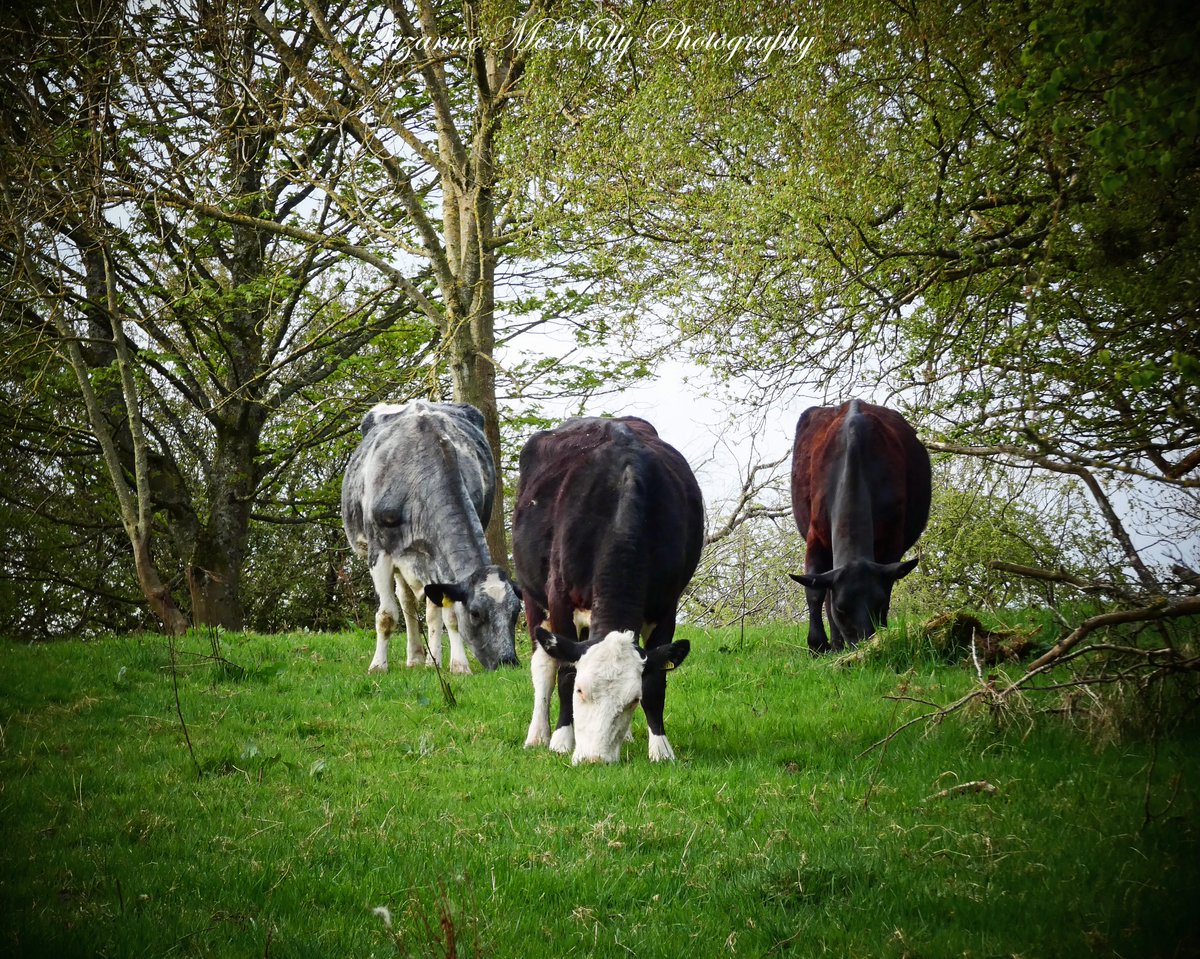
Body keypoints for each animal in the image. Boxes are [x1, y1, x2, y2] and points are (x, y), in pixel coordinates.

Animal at [341, 400, 521, 674]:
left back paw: (430, 660)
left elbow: (449, 614)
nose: (508, 662)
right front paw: (378, 666)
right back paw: (415, 657)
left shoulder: (440, 557)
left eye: (516, 612)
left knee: (431, 609)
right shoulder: (379, 552)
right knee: (406, 603)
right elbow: (386, 615)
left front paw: (459, 666)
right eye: (476, 613)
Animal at [512, 416, 704, 764]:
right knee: (543, 666)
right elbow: (564, 672)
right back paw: (538, 735)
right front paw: (562, 740)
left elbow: (656, 681)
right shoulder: (560, 599)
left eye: (632, 700)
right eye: (581, 691)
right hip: (534, 597)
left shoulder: (666, 605)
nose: (594, 759)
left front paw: (660, 747)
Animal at [789, 399, 931, 653]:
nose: (863, 643)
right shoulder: (816, 535)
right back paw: (835, 644)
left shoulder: (892, 540)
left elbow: (888, 587)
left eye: (878, 604)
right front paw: (817, 644)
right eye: (841, 608)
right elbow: (814, 590)